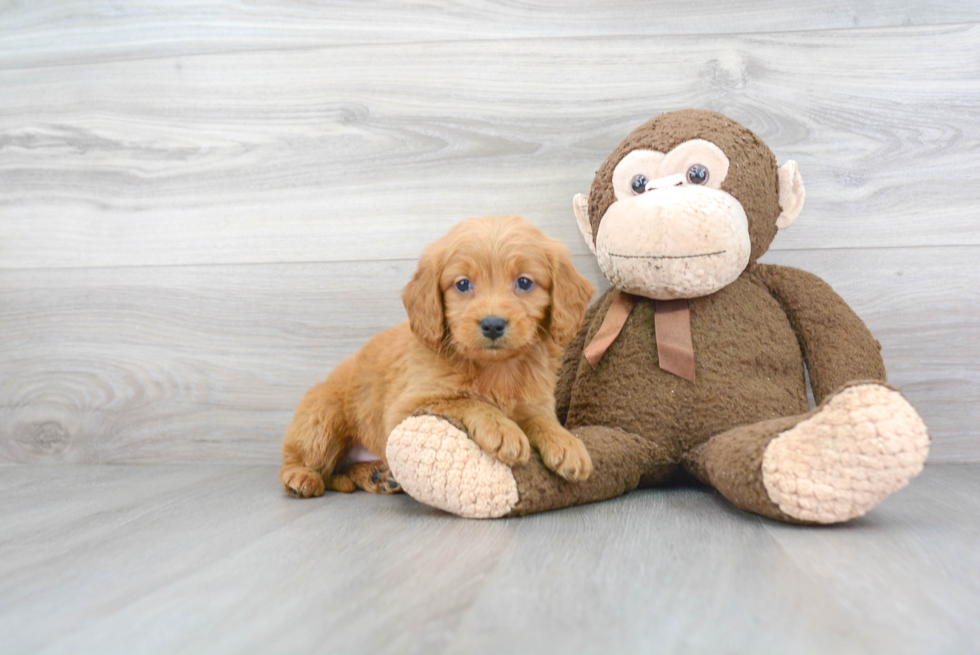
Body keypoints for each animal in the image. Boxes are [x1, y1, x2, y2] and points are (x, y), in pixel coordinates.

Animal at [280, 215, 592, 498]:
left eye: (525, 282)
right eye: (463, 284)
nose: (492, 325)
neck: (496, 368)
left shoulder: (536, 403)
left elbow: (541, 420)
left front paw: (566, 443)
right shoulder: (405, 408)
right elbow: (466, 401)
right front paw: (501, 427)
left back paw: (377, 475)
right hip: (323, 417)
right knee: (302, 459)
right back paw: (302, 478)